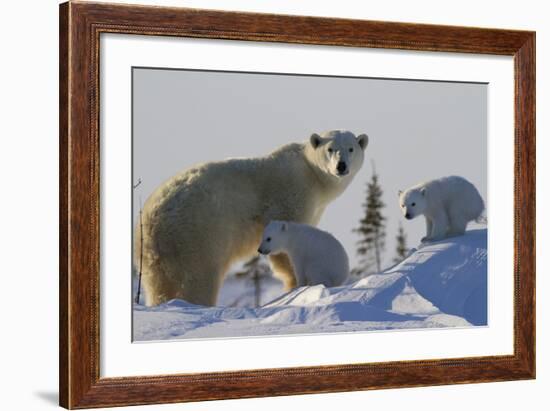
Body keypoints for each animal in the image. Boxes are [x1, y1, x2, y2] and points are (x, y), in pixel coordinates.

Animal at [139, 130, 370, 308]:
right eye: (330, 149)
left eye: (351, 148)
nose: (341, 166)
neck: (310, 173)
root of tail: (153, 220)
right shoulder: (291, 195)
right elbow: (285, 247)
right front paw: (294, 285)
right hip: (197, 235)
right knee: (200, 278)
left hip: (155, 259)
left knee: (159, 286)